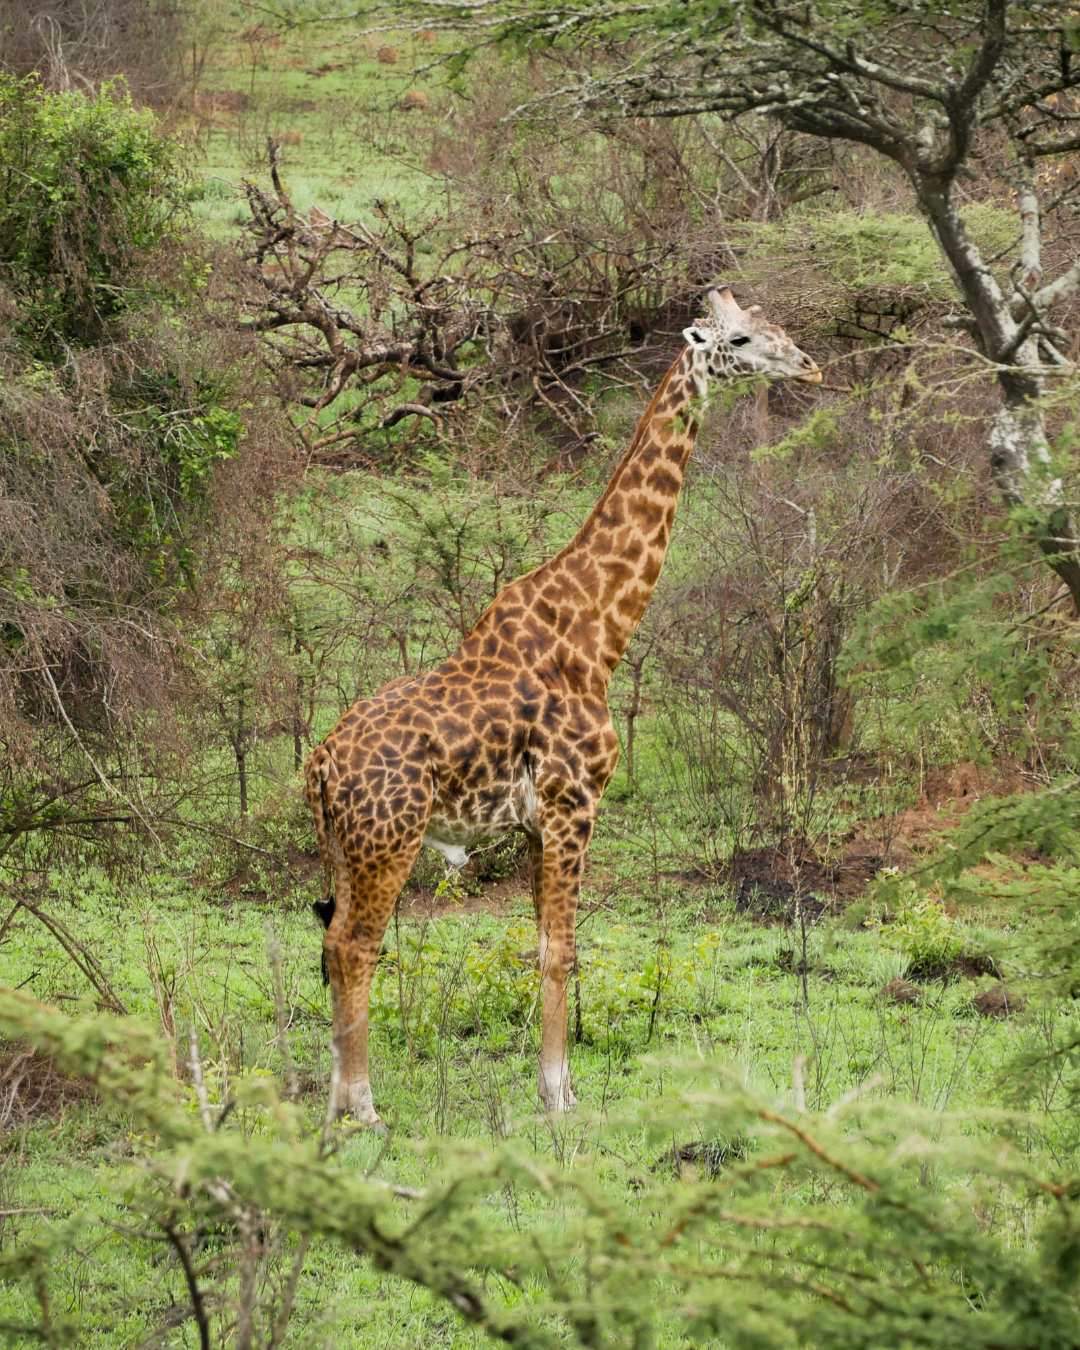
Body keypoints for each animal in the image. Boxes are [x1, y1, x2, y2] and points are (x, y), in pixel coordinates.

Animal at [306, 286, 820, 1128]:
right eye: (741, 339)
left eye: (776, 325)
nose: (808, 365)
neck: (598, 627)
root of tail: (317, 767)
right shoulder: (574, 800)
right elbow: (561, 947)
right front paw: (559, 1093)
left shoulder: (536, 821)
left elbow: (542, 941)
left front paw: (554, 1085)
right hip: (392, 840)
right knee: (357, 946)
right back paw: (366, 1106)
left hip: (347, 848)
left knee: (332, 941)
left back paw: (334, 1102)